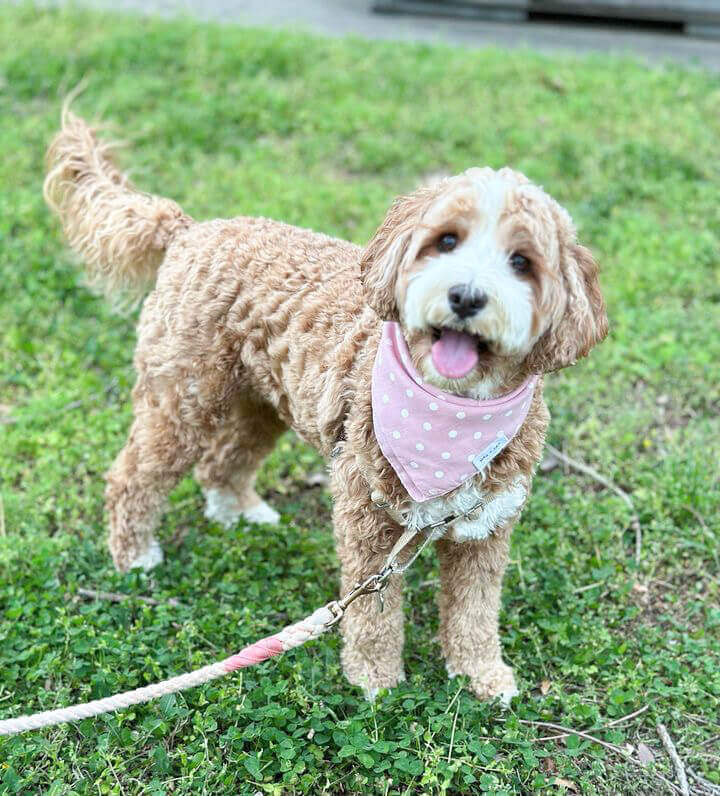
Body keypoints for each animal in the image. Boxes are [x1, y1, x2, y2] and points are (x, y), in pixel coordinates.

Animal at [45, 109, 608, 700]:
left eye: (522, 261)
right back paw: (134, 556)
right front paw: (378, 682)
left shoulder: (485, 527)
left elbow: (475, 611)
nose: (466, 297)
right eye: (446, 240)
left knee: (223, 460)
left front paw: (482, 675)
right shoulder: (369, 519)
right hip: (183, 397)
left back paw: (237, 510)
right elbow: (374, 614)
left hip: (261, 403)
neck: (452, 421)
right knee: (132, 476)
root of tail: (189, 229)